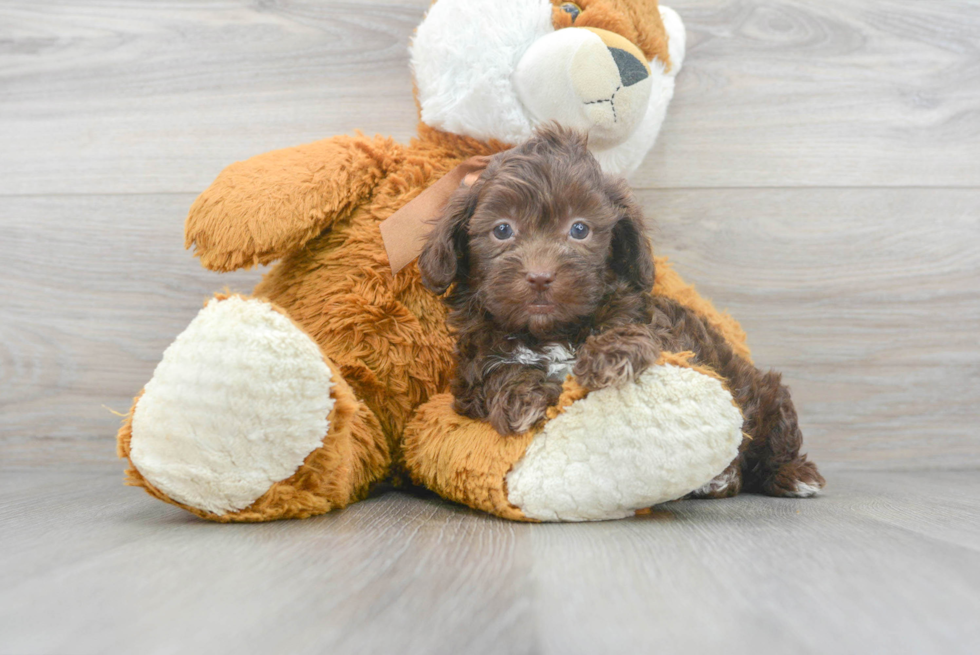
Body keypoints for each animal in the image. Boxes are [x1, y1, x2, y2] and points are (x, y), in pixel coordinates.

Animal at [418, 127, 824, 498]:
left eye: (579, 229)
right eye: (502, 229)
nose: (540, 276)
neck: (551, 332)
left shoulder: (665, 333)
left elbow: (633, 330)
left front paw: (609, 356)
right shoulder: (471, 368)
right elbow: (494, 371)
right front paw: (522, 396)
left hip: (762, 394)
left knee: (775, 436)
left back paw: (791, 475)